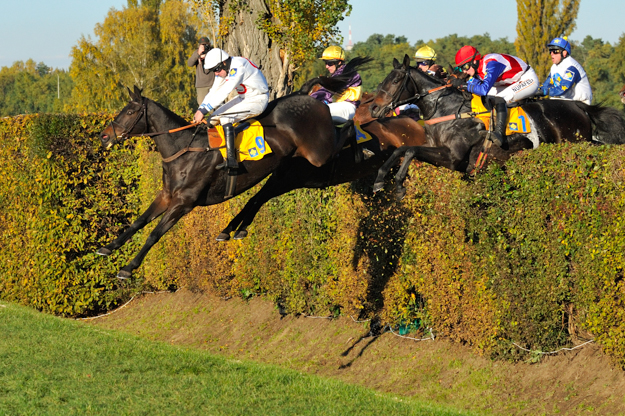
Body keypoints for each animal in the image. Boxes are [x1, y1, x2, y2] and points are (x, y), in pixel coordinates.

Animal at [368, 54, 624, 197]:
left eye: (395, 80)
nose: (374, 108)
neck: (449, 110)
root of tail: (579, 107)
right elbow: (403, 149)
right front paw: (380, 179)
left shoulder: (452, 158)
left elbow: (410, 149)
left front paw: (398, 185)